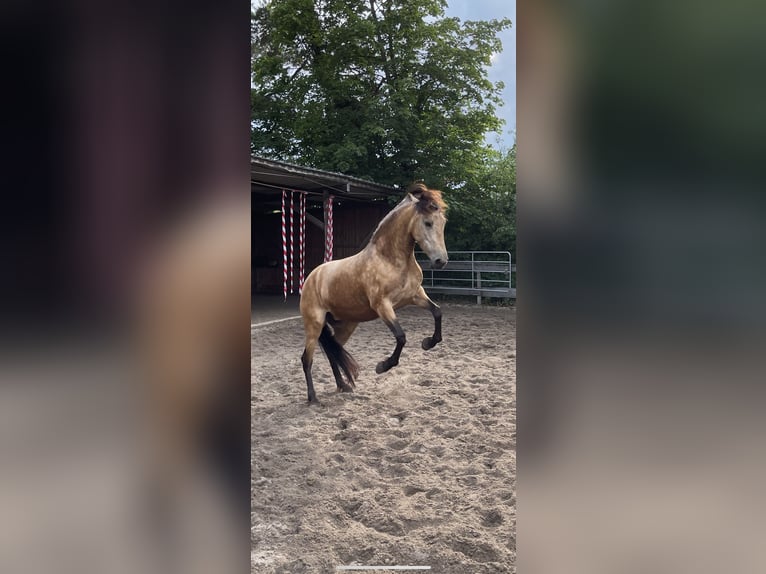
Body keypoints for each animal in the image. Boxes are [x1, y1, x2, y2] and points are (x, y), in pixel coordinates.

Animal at [296, 184, 448, 404]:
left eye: (443, 222)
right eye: (428, 223)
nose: (441, 261)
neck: (390, 259)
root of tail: (310, 279)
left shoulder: (415, 296)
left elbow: (437, 312)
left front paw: (428, 343)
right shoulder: (383, 305)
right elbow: (401, 337)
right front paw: (382, 366)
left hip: (346, 325)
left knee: (333, 353)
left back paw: (343, 386)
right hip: (314, 326)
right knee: (307, 359)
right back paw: (313, 398)